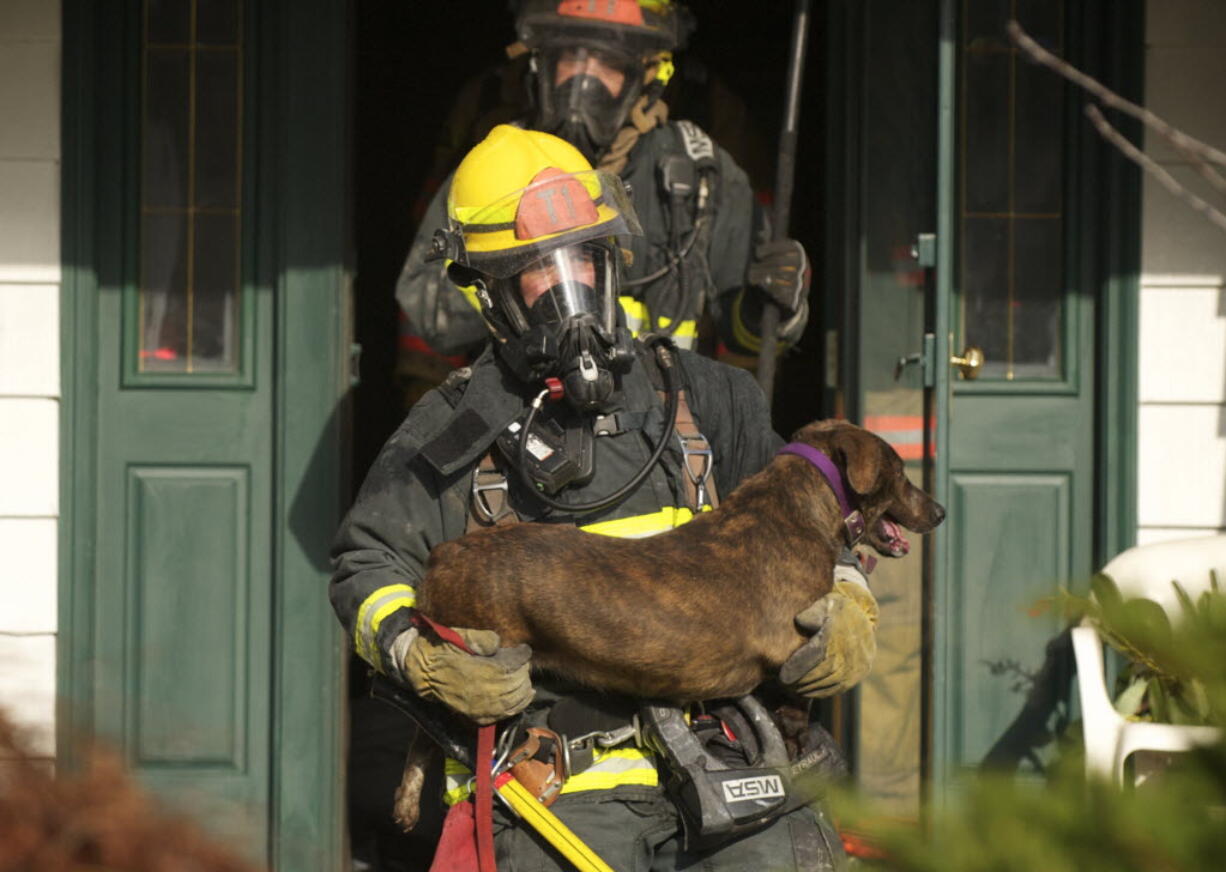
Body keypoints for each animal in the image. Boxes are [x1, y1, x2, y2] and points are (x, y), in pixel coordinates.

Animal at [387, 421, 941, 833]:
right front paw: (799, 744)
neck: (798, 506)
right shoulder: (792, 654)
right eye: (899, 474)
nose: (938, 510)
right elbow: (795, 706)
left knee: (423, 730)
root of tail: (442, 558)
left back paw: (406, 802)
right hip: (481, 662)